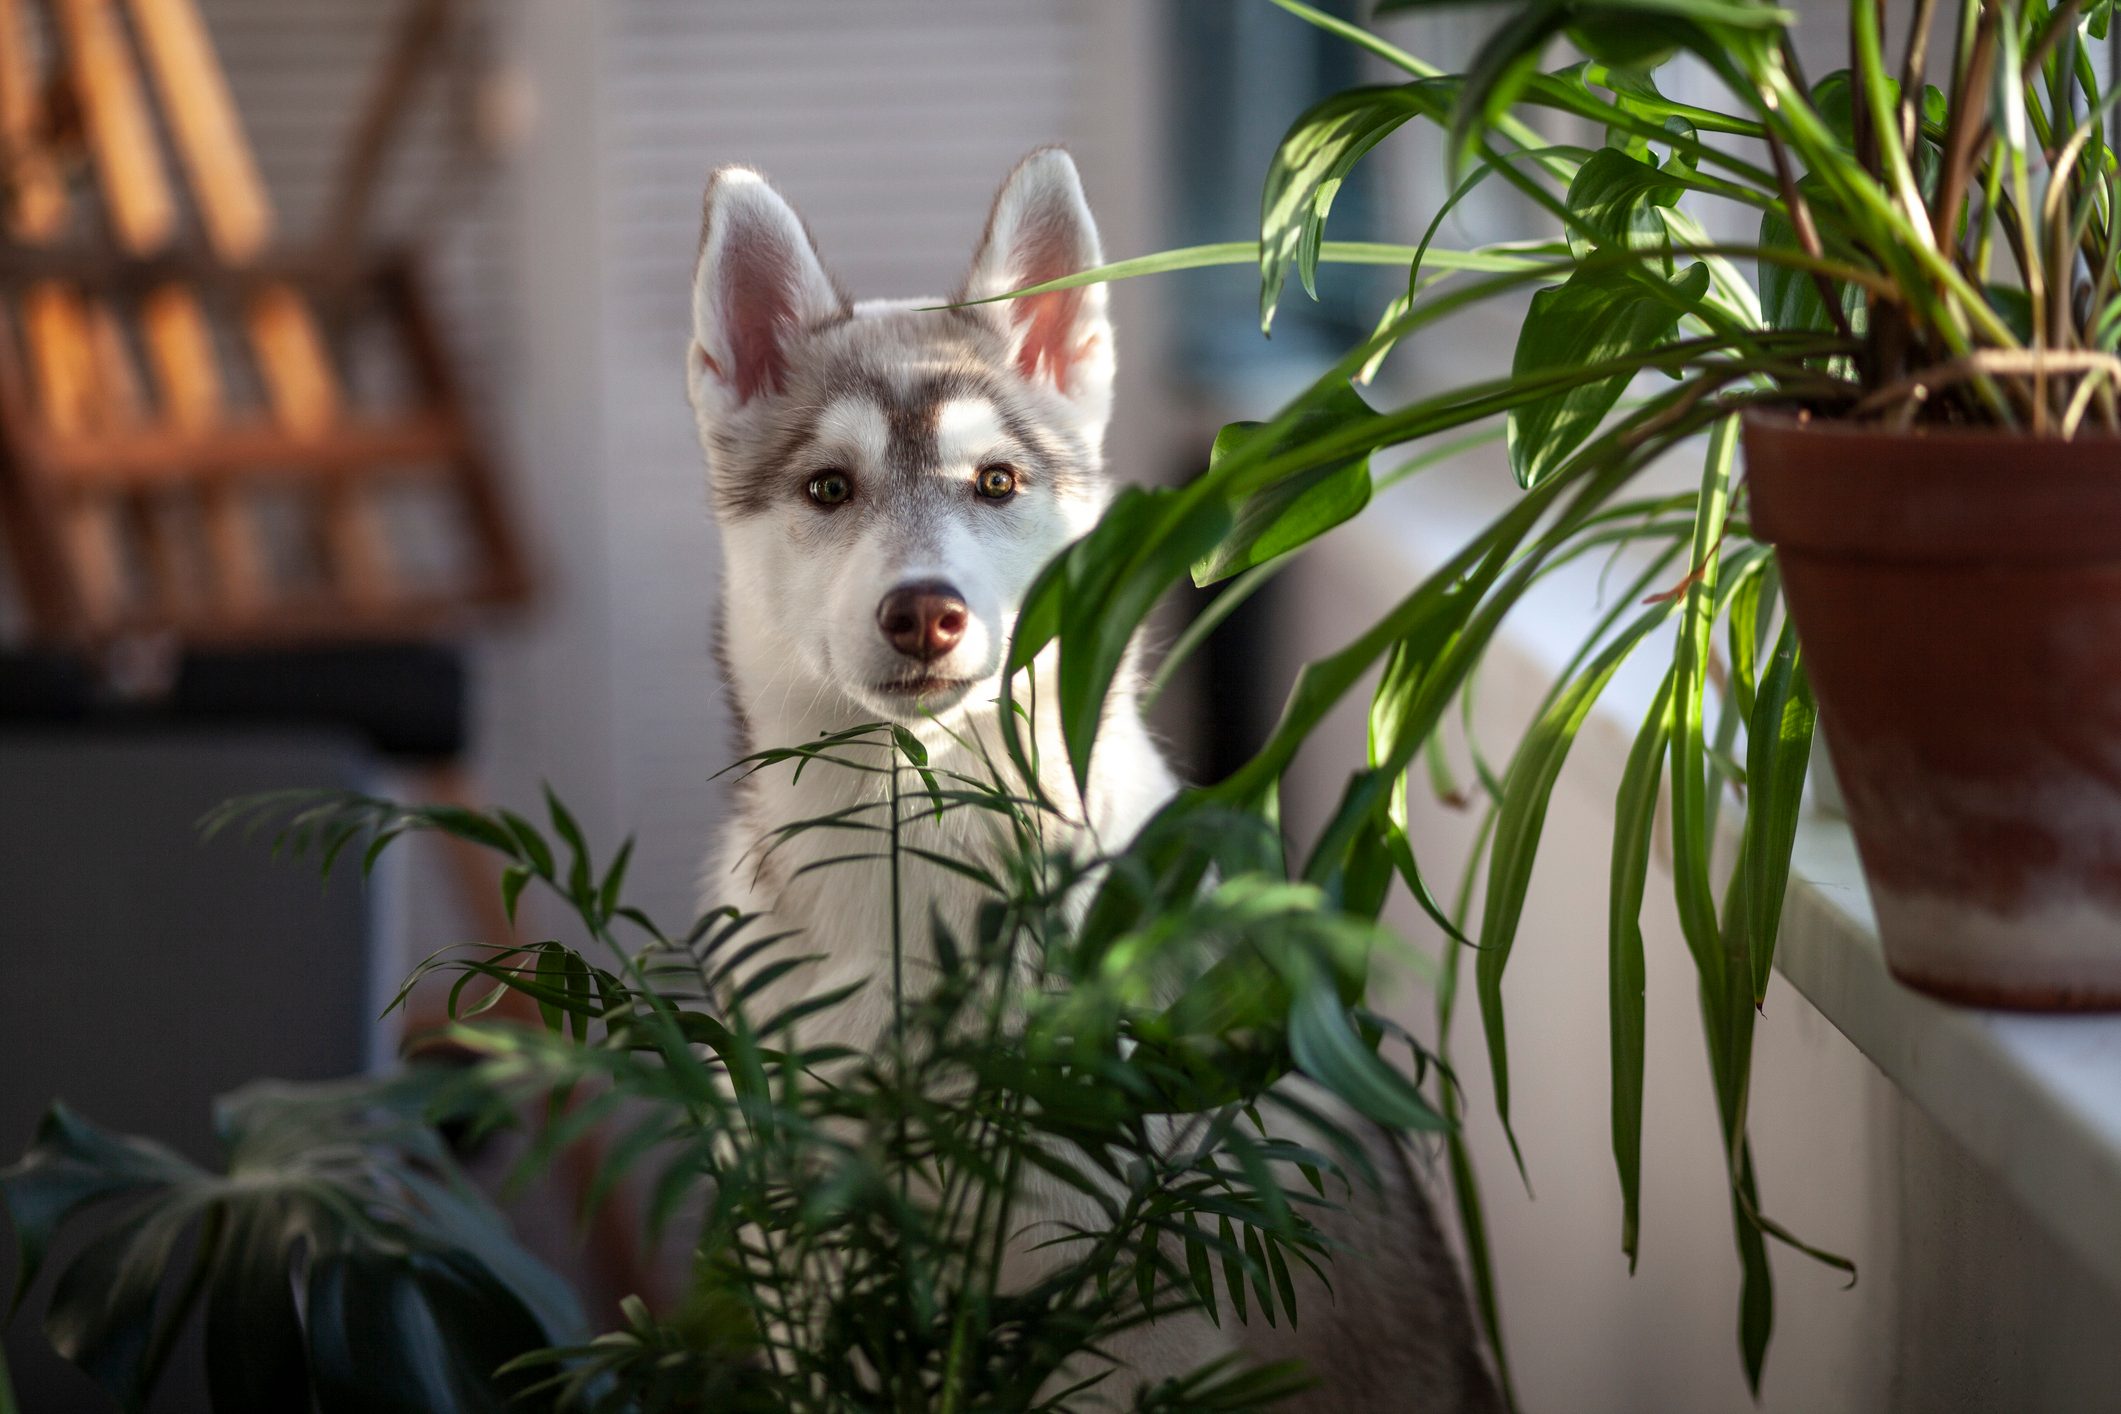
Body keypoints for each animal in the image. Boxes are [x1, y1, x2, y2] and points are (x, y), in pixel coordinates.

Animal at [687, 149, 1501, 1407]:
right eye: (828, 488)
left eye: (996, 480)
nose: (924, 612)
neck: (921, 861)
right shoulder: (808, 1277)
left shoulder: (1105, 1296)